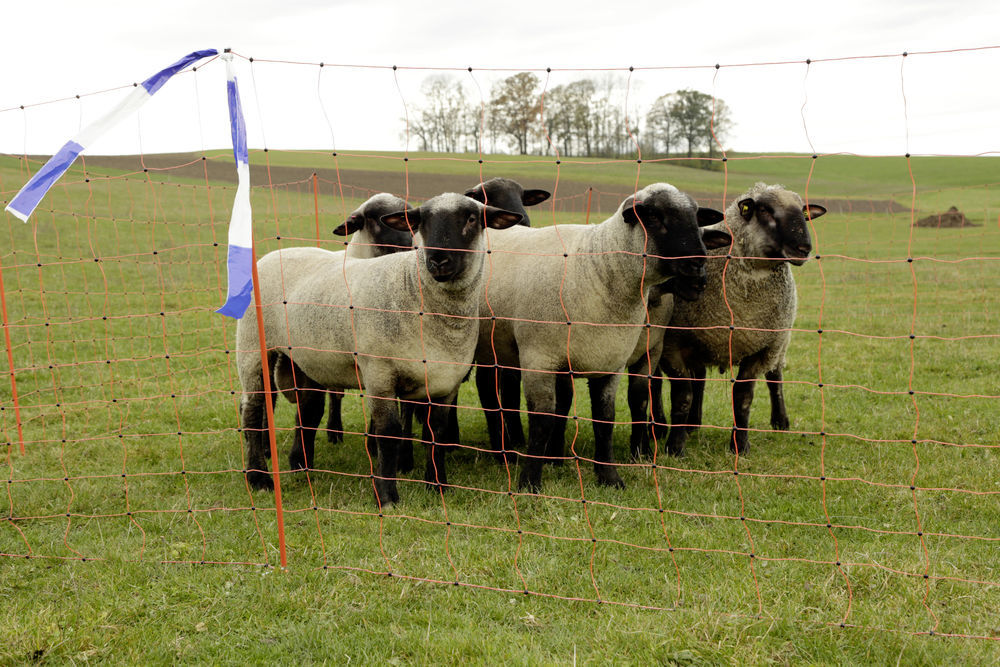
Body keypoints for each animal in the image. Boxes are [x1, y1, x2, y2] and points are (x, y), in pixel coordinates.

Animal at [238, 193, 524, 506]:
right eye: (421, 221)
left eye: (472, 218)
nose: (437, 260)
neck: (414, 289)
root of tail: (275, 252)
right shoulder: (379, 374)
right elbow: (388, 433)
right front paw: (387, 496)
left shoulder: (446, 381)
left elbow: (436, 432)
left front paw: (438, 485)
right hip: (253, 348)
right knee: (253, 411)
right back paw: (259, 478)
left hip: (306, 360)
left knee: (309, 410)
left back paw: (302, 465)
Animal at [476, 183, 728, 490]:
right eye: (653, 216)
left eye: (695, 216)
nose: (698, 266)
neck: (599, 267)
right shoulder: (539, 359)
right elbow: (543, 419)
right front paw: (530, 482)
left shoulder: (610, 360)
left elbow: (605, 418)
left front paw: (609, 477)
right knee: (489, 394)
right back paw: (503, 453)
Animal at [664, 181, 828, 460]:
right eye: (764, 210)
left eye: (804, 213)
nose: (803, 249)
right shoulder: (674, 344)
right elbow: (682, 396)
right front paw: (675, 446)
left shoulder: (762, 348)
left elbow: (743, 397)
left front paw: (740, 445)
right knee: (698, 379)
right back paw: (691, 424)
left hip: (780, 343)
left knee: (775, 377)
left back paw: (780, 422)